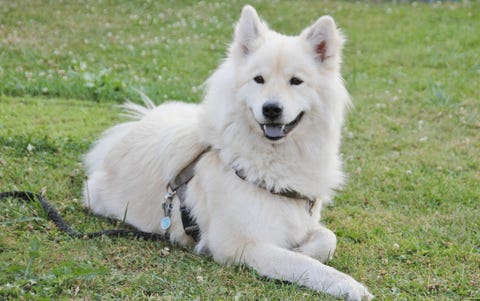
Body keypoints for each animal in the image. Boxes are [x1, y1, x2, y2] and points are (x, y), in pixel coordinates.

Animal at [84, 5, 374, 300]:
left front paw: (304, 248)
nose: (271, 109)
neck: (272, 164)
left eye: (296, 81)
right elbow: (302, 264)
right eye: (259, 80)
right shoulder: (240, 244)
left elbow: (328, 239)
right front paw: (347, 284)